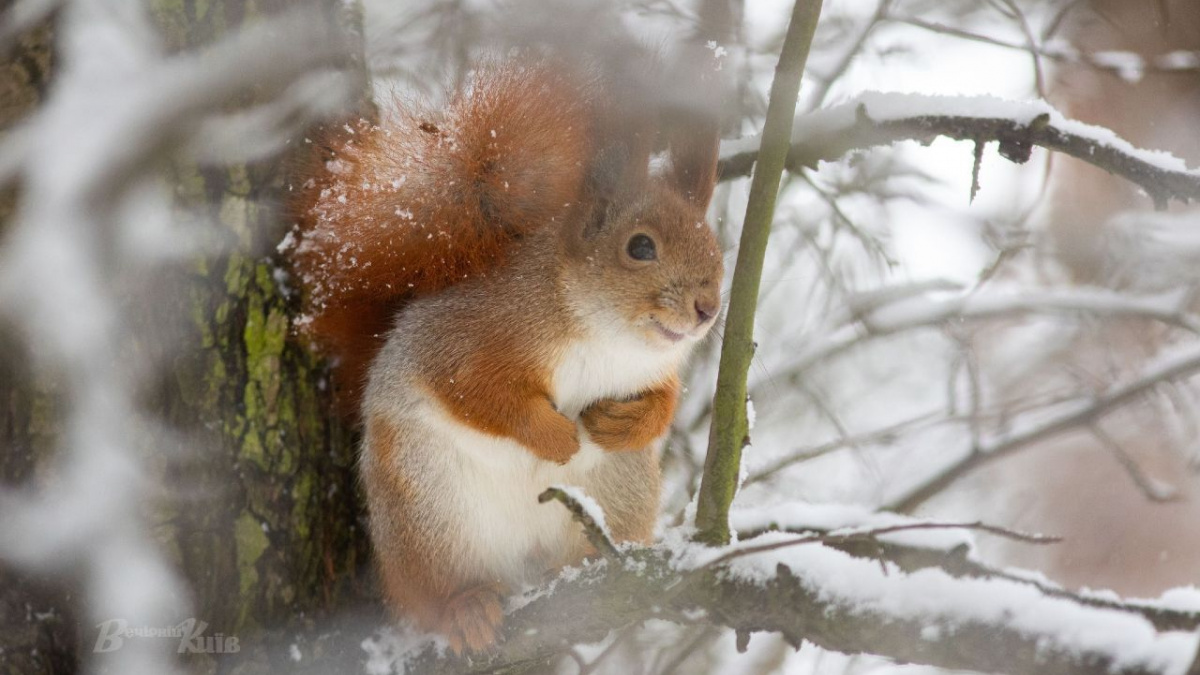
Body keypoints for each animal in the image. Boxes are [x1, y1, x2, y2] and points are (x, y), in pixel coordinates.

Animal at [285, 56, 724, 653]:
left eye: (716, 247)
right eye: (640, 247)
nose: (708, 308)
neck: (602, 334)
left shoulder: (656, 370)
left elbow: (662, 401)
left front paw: (623, 421)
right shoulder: (472, 337)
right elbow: (479, 394)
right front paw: (556, 437)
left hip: (621, 491)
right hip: (428, 514)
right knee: (437, 592)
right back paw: (465, 607)